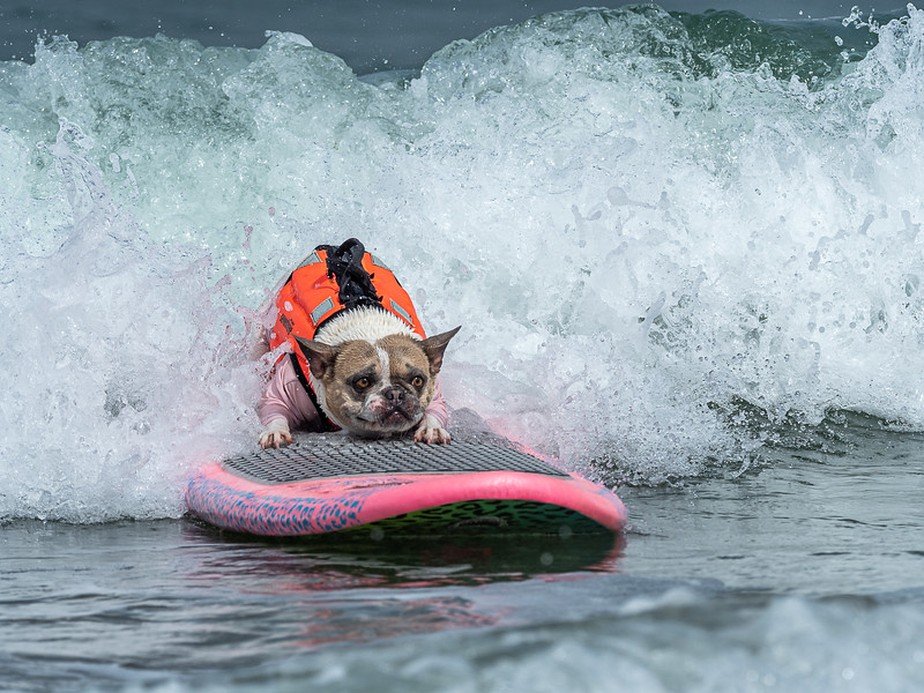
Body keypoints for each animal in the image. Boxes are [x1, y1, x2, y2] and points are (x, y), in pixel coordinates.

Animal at [256, 241, 458, 452]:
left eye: (418, 380)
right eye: (362, 382)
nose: (395, 393)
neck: (369, 326)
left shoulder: (435, 391)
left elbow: (435, 408)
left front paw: (431, 428)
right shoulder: (288, 386)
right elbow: (274, 406)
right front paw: (275, 431)